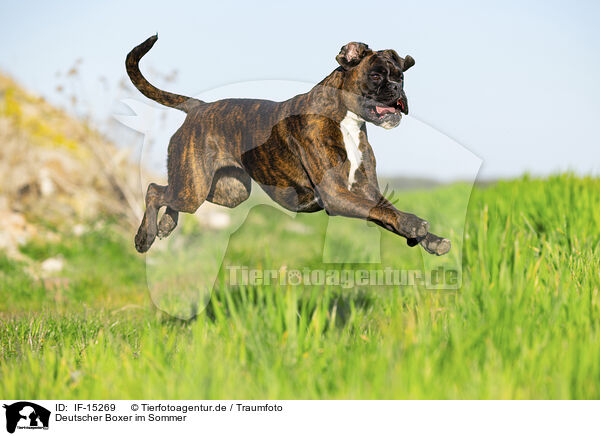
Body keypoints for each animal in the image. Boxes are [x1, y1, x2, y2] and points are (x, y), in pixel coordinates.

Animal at [125, 37, 450, 258]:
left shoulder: (366, 190)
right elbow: (386, 213)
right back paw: (144, 237)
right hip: (194, 189)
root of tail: (197, 108)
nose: (398, 90)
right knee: (154, 190)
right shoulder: (336, 194)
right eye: (376, 75)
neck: (345, 118)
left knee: (168, 194)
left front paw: (431, 240)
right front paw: (414, 224)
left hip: (225, 192)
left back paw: (166, 224)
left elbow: (385, 211)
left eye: (401, 76)